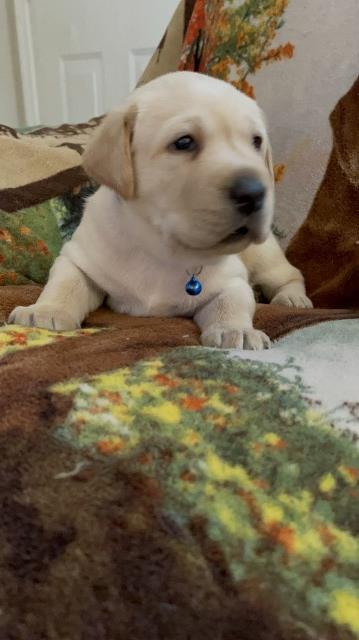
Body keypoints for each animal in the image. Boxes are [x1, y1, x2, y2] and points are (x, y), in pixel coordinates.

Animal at [8, 72, 312, 350]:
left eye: (256, 142)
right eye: (184, 142)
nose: (255, 192)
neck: (161, 250)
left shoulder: (233, 280)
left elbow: (232, 302)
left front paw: (236, 330)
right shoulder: (80, 258)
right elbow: (65, 283)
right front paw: (46, 311)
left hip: (264, 256)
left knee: (289, 275)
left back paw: (293, 298)